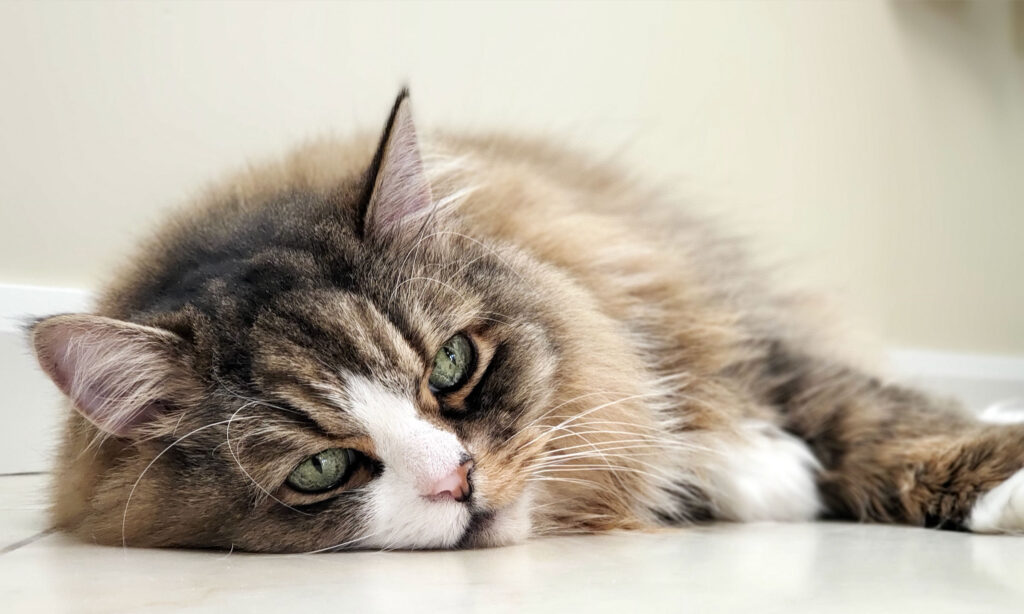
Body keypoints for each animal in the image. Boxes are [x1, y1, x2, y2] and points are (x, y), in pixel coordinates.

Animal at [29, 87, 1024, 552]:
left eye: (450, 367)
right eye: (319, 468)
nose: (457, 481)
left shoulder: (713, 328)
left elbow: (879, 421)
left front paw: (1002, 480)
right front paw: (760, 474)